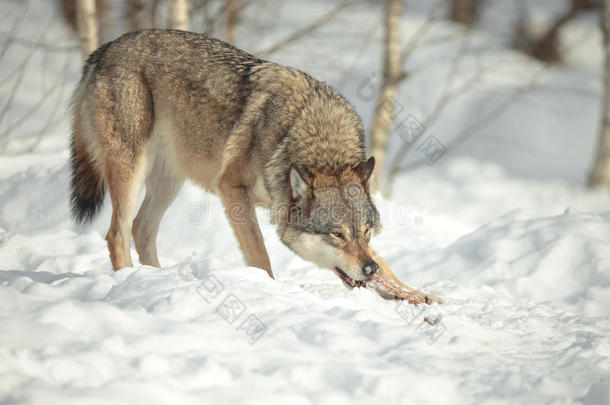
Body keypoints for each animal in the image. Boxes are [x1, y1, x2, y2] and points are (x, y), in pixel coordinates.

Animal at [69, 28, 440, 302]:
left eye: (365, 232)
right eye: (337, 234)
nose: (367, 270)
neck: (317, 139)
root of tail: (102, 50)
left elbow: (390, 267)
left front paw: (419, 295)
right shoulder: (231, 189)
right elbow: (261, 256)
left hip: (168, 181)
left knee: (142, 229)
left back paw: (156, 280)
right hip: (132, 171)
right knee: (117, 232)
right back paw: (129, 280)